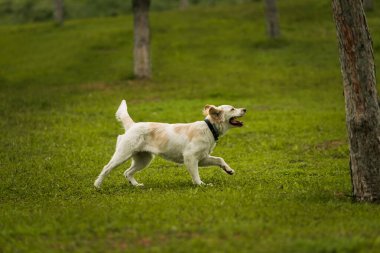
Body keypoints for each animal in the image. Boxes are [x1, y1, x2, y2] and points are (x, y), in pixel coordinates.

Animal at [95, 100, 246, 188]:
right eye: (232, 109)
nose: (245, 109)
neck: (209, 128)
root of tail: (132, 125)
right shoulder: (190, 158)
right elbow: (196, 175)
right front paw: (201, 184)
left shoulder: (202, 158)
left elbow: (220, 159)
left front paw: (229, 170)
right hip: (122, 154)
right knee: (106, 168)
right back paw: (97, 185)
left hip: (144, 159)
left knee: (127, 172)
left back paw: (136, 185)